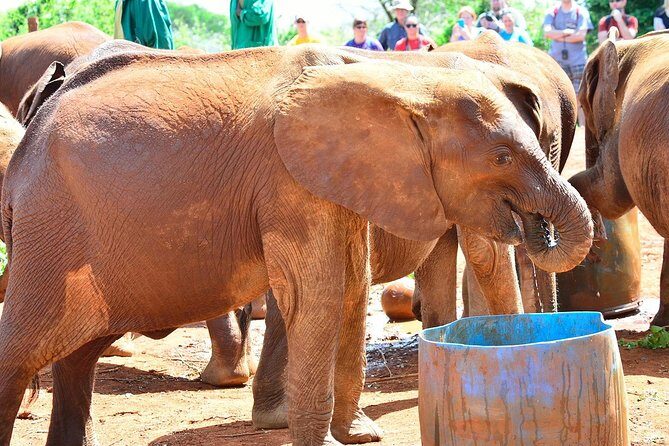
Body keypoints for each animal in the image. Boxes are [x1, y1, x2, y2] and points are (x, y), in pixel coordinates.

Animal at [0, 45, 593, 446]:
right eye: (501, 156)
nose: (538, 227)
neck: (399, 78)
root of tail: (28, 141)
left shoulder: (340, 178)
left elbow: (350, 288)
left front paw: (358, 436)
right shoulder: (290, 180)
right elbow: (321, 293)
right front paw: (328, 441)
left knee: (78, 356)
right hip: (52, 230)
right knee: (24, 349)